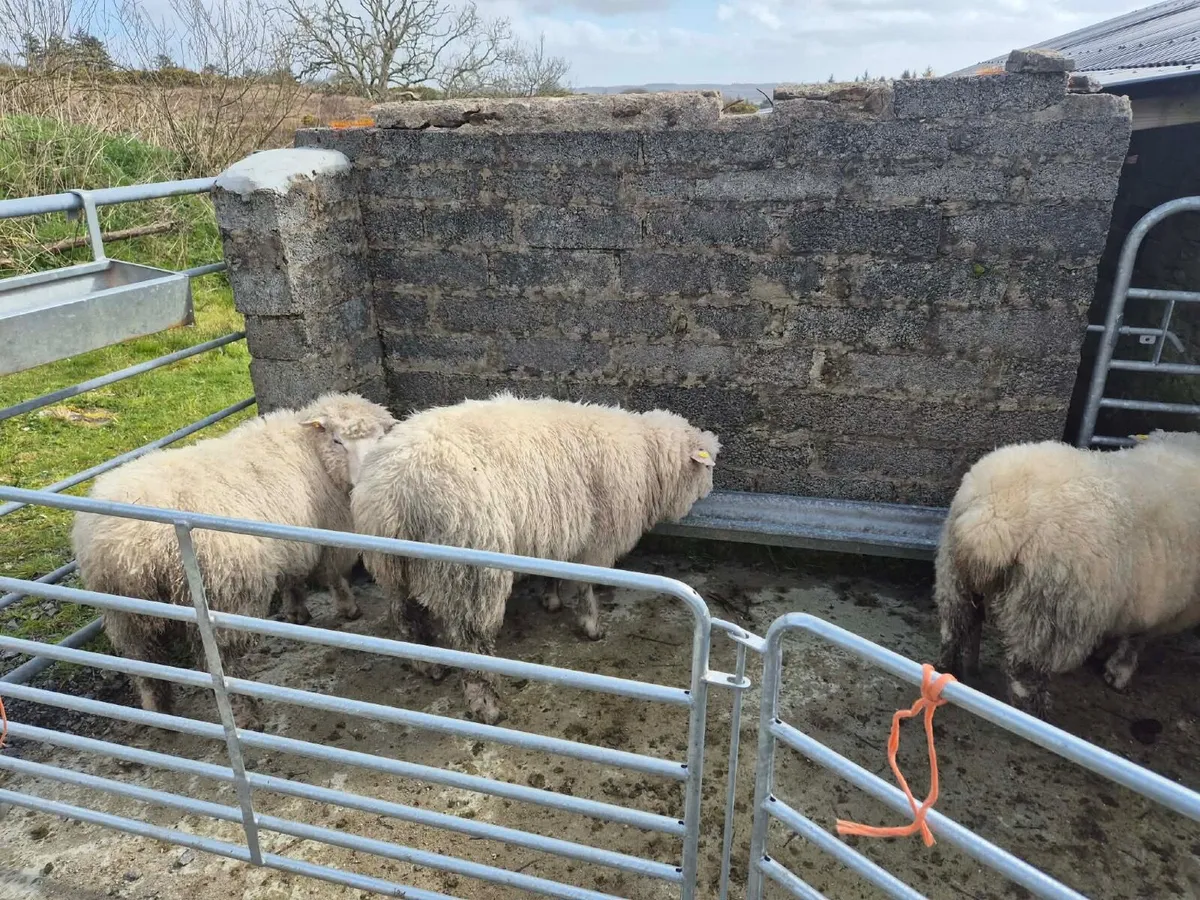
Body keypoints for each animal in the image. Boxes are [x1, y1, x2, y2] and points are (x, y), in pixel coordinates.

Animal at [72, 392, 398, 728]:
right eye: (337, 441)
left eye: (379, 438)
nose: (363, 480)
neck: (312, 452)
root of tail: (134, 546)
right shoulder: (323, 533)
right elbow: (334, 575)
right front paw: (347, 608)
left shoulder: (291, 540)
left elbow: (292, 577)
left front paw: (296, 611)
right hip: (221, 593)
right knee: (223, 663)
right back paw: (246, 712)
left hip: (123, 609)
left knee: (144, 663)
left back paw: (158, 710)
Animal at [350, 392, 721, 724]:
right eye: (706, 469)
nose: (709, 492)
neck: (646, 456)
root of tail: (396, 492)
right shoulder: (596, 539)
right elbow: (586, 587)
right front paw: (591, 625)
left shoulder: (557, 532)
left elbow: (554, 573)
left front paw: (551, 599)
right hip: (470, 567)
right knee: (471, 639)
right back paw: (485, 702)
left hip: (393, 565)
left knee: (405, 615)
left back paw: (426, 664)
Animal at [934, 429, 1200, 719]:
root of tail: (993, 520)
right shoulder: (1161, 606)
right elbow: (1136, 640)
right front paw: (1119, 672)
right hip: (1048, 611)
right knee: (1024, 677)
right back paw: (1035, 716)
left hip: (954, 577)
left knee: (953, 630)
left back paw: (950, 673)